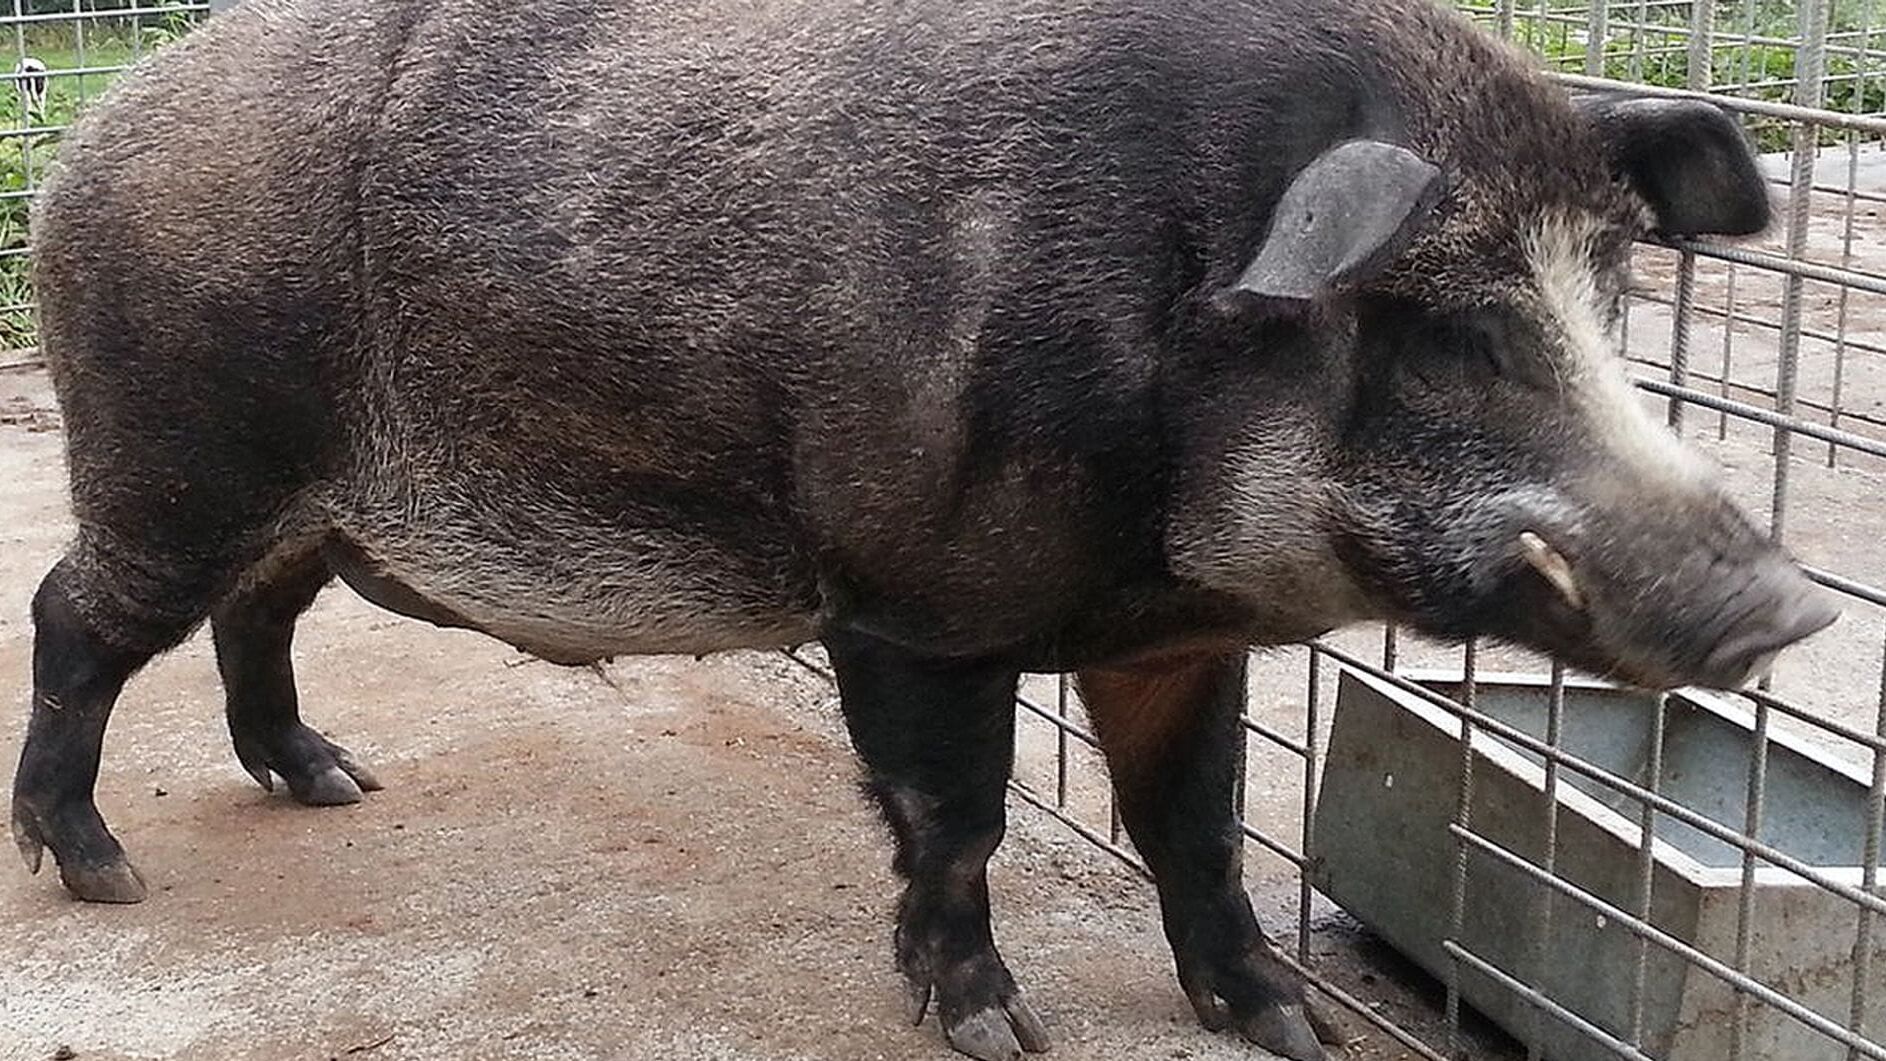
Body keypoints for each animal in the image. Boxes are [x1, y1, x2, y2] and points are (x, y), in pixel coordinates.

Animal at [9, 0, 1837, 1058]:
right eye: (1451, 327)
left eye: (1613, 291)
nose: (1792, 604)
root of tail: (97, 131)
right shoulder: (908, 601)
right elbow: (955, 821)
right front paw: (996, 1033)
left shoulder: (1176, 639)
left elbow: (1199, 829)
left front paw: (1287, 1028)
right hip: (175, 451)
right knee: (74, 616)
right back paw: (101, 872)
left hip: (288, 501)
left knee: (259, 615)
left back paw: (330, 784)